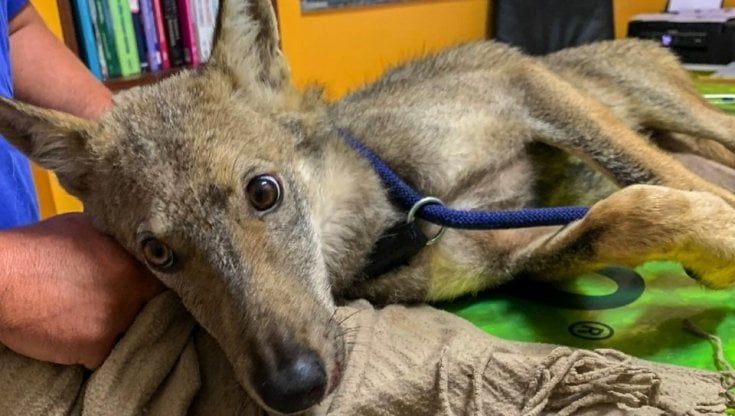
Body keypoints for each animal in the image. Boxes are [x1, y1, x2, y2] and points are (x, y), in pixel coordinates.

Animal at [1, 0, 735, 413]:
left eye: (263, 192)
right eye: (156, 253)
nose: (292, 389)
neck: (402, 205)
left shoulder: (519, 82)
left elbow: (658, 183)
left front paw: (719, 228)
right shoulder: (511, 255)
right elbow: (625, 214)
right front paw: (709, 242)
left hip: (665, 108)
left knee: (697, 144)